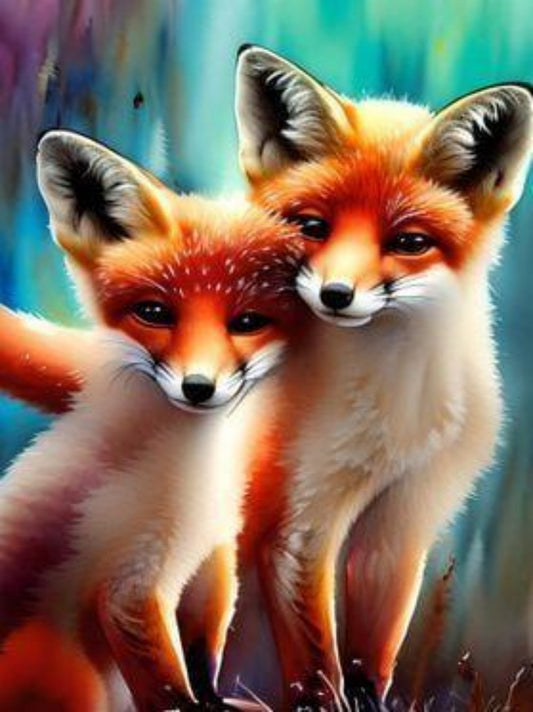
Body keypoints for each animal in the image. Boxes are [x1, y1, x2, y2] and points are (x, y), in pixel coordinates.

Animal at [0, 130, 307, 711]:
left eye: (248, 322)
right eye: (154, 313)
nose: (198, 387)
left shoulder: (212, 555)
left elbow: (203, 657)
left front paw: (214, 698)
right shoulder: (132, 585)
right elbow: (168, 688)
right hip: (68, 670)